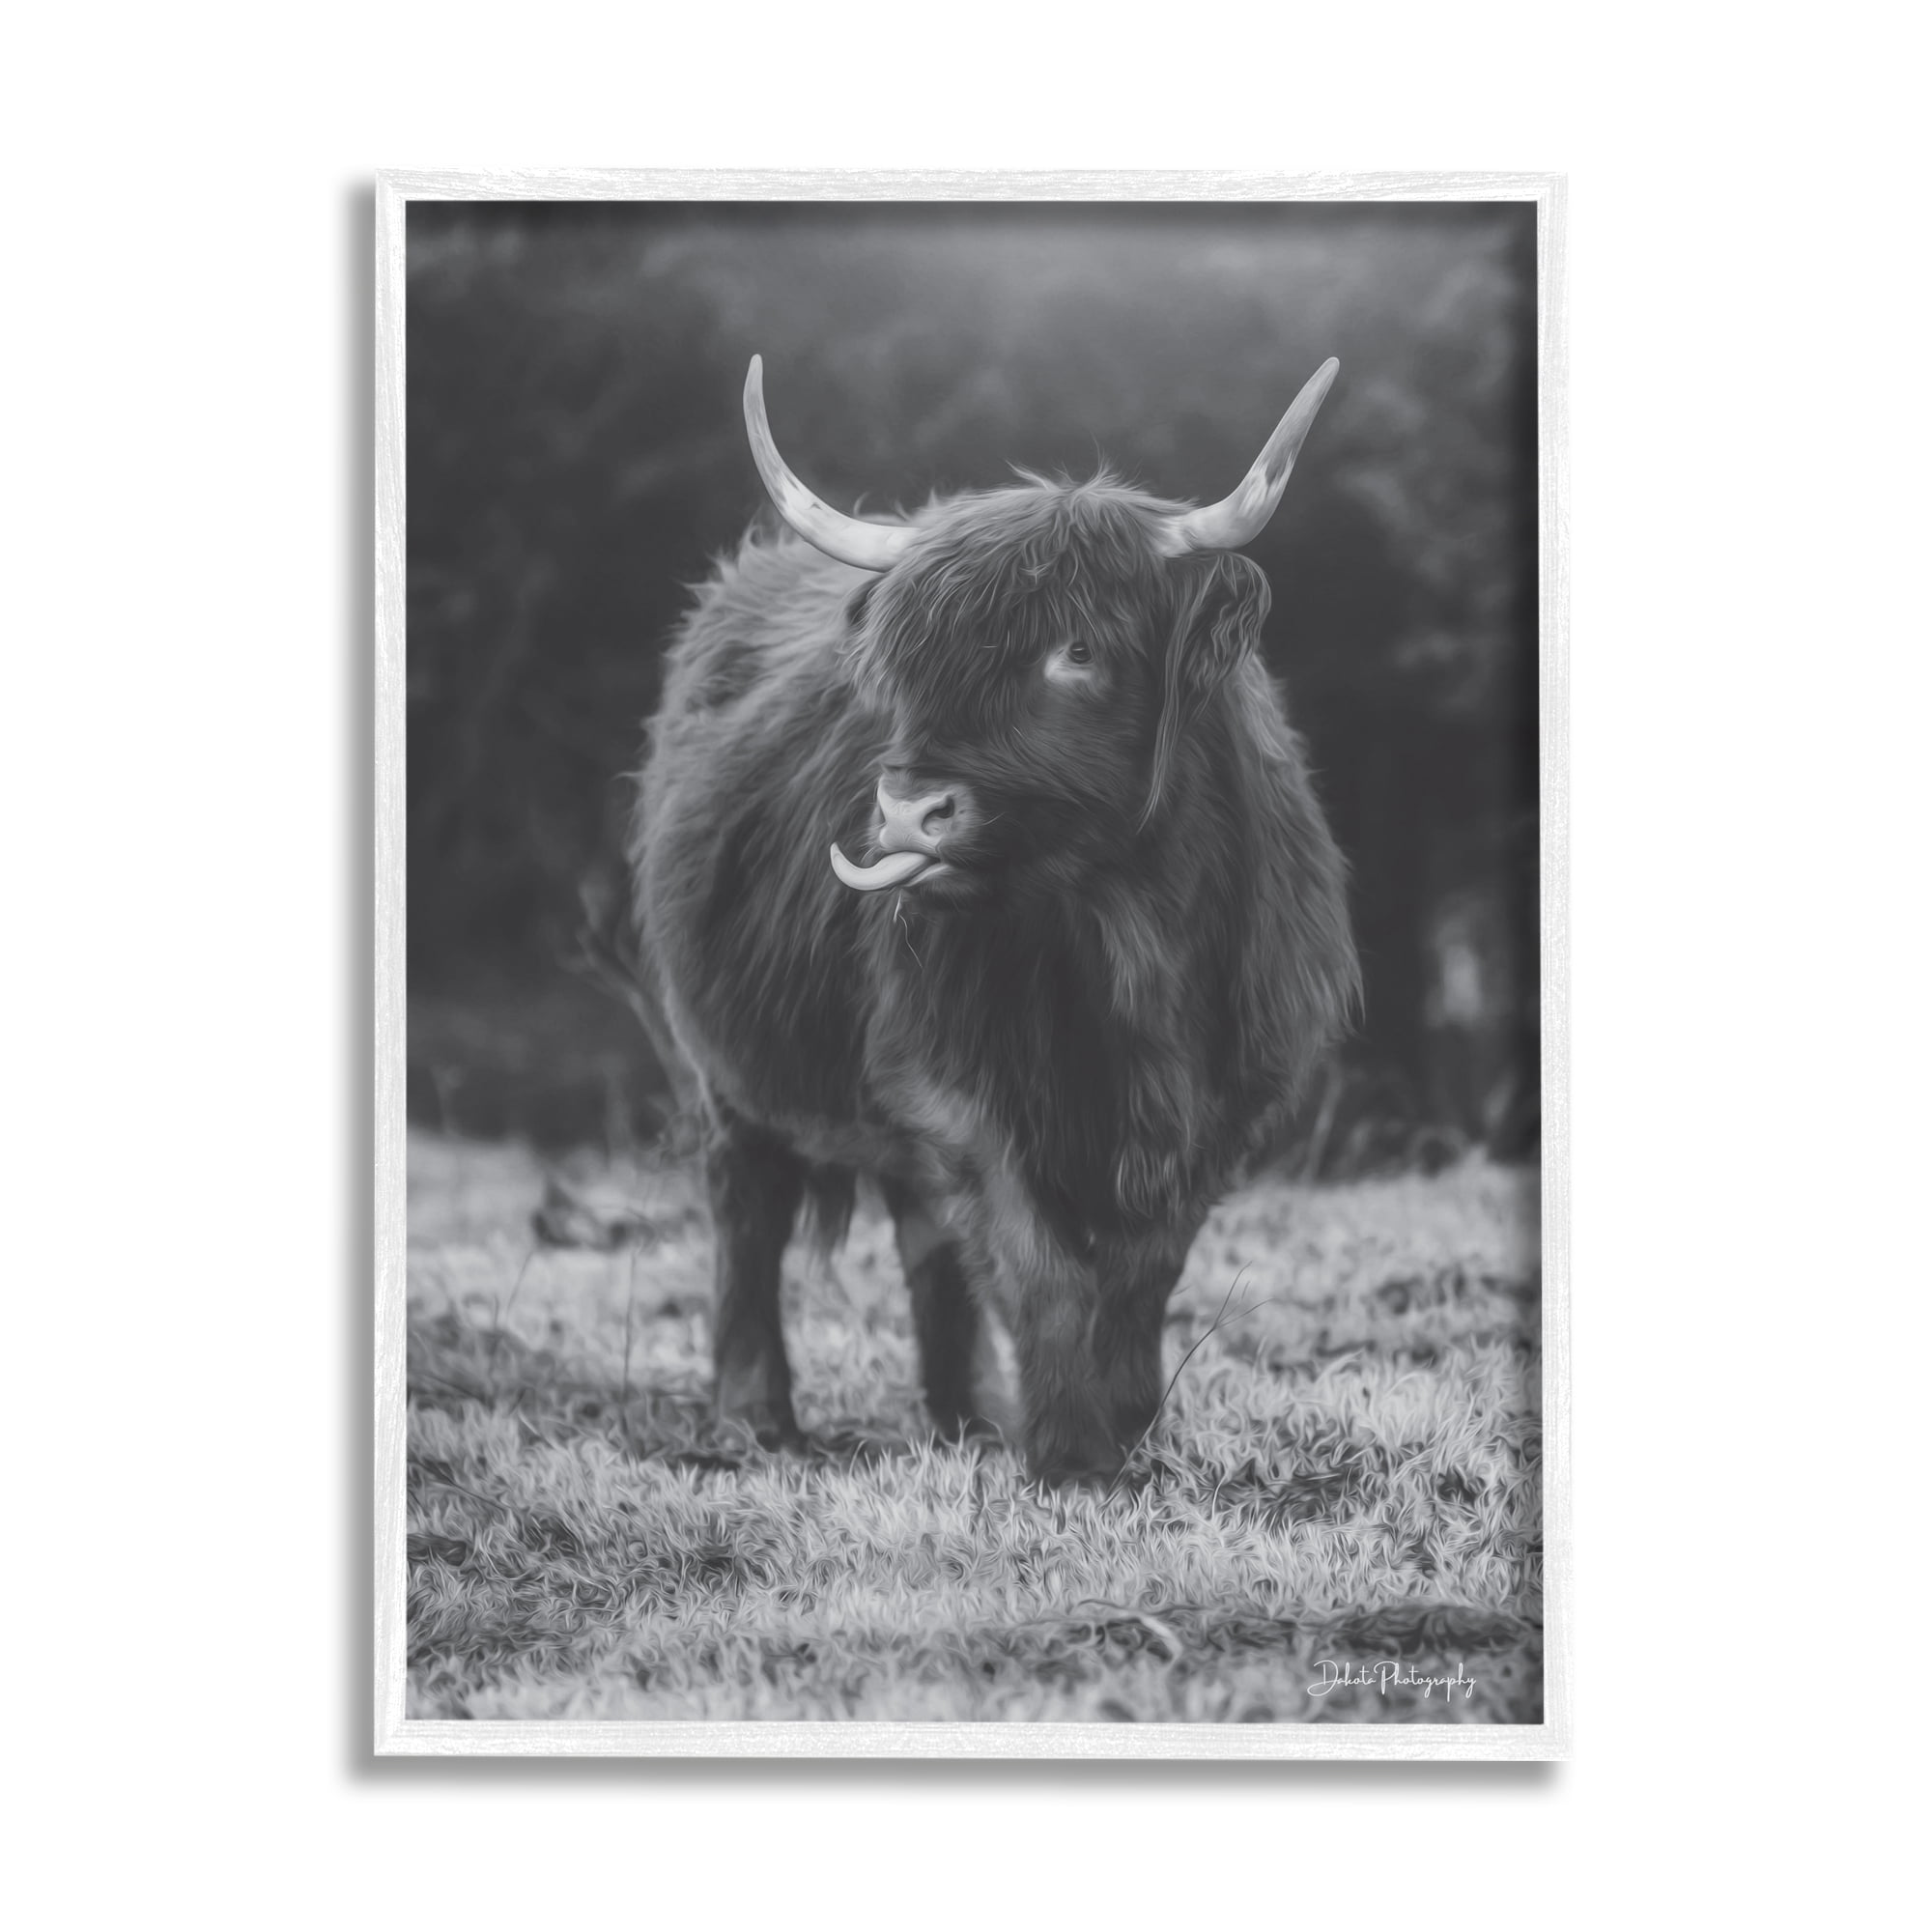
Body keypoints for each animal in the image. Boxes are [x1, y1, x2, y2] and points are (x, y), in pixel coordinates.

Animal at [630, 355, 1359, 1488]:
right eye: (907, 662)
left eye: (1079, 648)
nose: (903, 812)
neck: (1123, 935)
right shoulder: (948, 1077)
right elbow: (1035, 1259)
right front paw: (1068, 1450)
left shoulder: (1232, 1094)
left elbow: (1144, 1267)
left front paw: (1128, 1429)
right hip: (725, 1065)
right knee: (748, 1208)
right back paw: (757, 1418)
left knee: (923, 1236)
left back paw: (964, 1414)